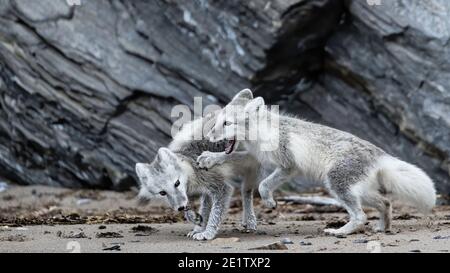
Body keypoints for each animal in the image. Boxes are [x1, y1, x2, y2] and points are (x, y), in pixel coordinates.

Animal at [135, 112, 258, 240]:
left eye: (177, 183)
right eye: (162, 193)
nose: (180, 208)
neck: (192, 164)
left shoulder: (222, 187)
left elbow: (215, 213)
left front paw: (208, 233)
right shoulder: (206, 191)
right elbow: (202, 209)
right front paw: (197, 227)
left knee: (247, 192)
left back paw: (250, 221)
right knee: (246, 191)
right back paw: (247, 221)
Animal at [200, 88, 436, 235]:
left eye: (227, 123)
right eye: (217, 121)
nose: (209, 135)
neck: (262, 133)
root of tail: (380, 154)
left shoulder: (287, 166)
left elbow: (264, 185)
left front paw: (269, 202)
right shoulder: (259, 159)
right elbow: (231, 156)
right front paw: (209, 158)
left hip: (337, 185)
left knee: (361, 216)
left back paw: (340, 232)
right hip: (358, 191)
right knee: (385, 203)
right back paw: (382, 228)